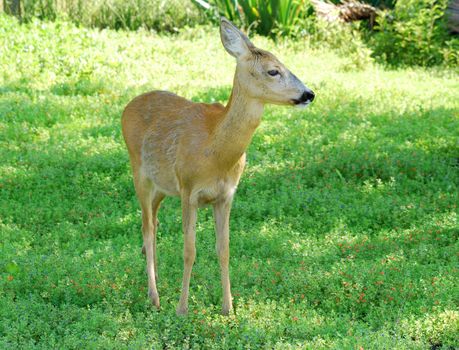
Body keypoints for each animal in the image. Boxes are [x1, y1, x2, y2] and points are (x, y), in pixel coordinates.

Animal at [121, 17, 316, 316]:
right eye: (273, 71)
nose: (309, 94)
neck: (215, 152)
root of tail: (127, 106)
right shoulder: (188, 190)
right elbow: (189, 251)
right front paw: (182, 309)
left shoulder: (226, 195)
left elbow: (223, 249)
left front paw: (228, 308)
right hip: (139, 172)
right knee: (147, 227)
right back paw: (154, 296)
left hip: (162, 186)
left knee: (153, 222)